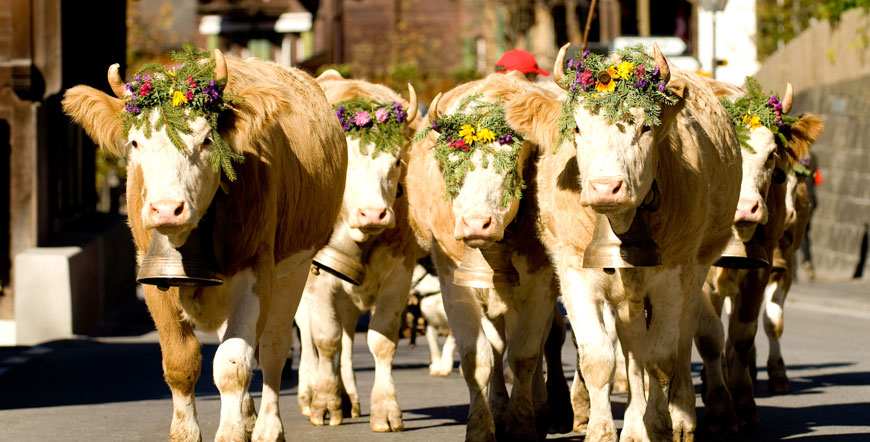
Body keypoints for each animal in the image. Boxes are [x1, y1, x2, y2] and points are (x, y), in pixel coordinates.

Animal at [62, 50, 348, 440]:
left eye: (207, 140)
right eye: (135, 143)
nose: (167, 209)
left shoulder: (256, 271)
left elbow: (232, 364)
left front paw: (231, 432)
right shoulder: (152, 275)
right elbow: (181, 361)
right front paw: (188, 432)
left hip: (295, 271)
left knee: (272, 348)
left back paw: (267, 426)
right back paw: (248, 416)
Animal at [292, 72, 422, 432]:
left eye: (397, 161)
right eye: (346, 162)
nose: (374, 213)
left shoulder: (400, 276)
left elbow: (381, 342)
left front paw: (386, 410)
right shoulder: (318, 280)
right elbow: (326, 339)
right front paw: (324, 403)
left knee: (349, 336)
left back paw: (349, 395)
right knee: (310, 336)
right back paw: (309, 394)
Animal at [408, 71, 572, 440]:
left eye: (509, 169)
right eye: (452, 166)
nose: (476, 223)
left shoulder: (540, 285)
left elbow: (525, 355)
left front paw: (523, 424)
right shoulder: (455, 285)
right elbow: (477, 358)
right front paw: (482, 426)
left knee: (547, 341)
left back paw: (549, 410)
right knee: (496, 350)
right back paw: (499, 407)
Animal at [508, 42, 744, 442]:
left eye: (645, 126)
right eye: (577, 128)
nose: (606, 187)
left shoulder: (673, 276)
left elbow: (662, 358)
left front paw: (660, 425)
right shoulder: (575, 273)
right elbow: (599, 358)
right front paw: (601, 431)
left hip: (696, 271)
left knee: (683, 338)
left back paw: (680, 417)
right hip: (624, 295)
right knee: (632, 348)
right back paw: (633, 424)